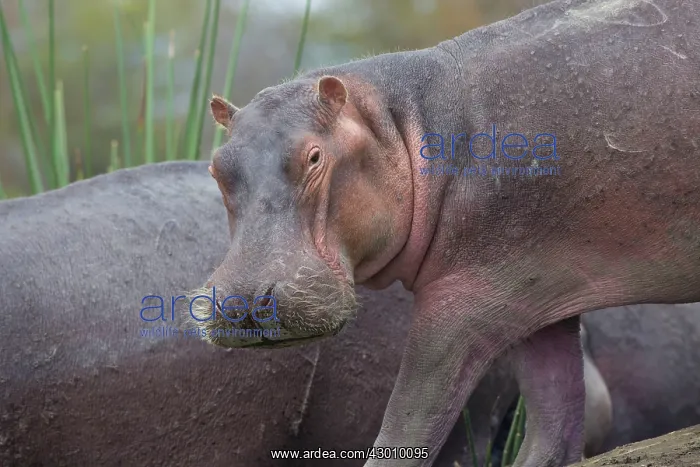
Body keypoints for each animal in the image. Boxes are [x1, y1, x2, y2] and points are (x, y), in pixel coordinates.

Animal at [194, 0, 700, 465]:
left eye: (315, 156)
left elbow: (408, 423)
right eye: (217, 167)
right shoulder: (540, 290)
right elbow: (554, 430)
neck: (404, 123)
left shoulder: (467, 300)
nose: (243, 301)